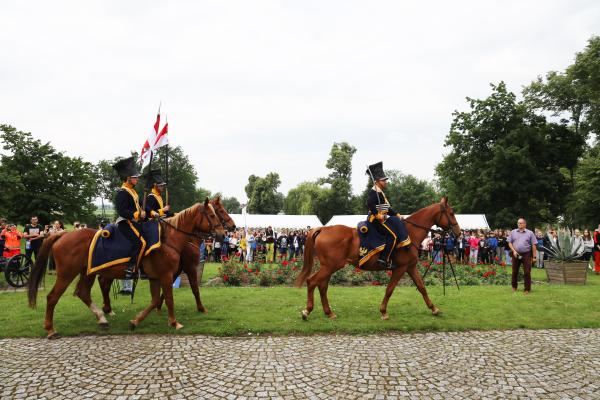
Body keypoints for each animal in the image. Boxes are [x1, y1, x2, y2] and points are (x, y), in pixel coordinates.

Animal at [28, 200, 225, 338]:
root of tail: (62, 234)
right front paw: (175, 322)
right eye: (213, 214)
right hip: (67, 273)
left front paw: (135, 321)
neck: (169, 239)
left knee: (83, 292)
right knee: (53, 297)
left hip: (88, 272)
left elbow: (155, 300)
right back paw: (51, 329)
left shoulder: (156, 277)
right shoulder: (167, 275)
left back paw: (102, 318)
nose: (223, 234)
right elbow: (170, 298)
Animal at [96, 197, 237, 316]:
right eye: (219, 211)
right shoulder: (188, 267)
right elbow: (194, 288)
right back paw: (107, 308)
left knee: (103, 282)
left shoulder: (174, 270)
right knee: (103, 282)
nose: (232, 228)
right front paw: (201, 308)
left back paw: (107, 308)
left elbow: (166, 290)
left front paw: (158, 306)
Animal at [294, 198, 460, 322]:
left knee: (322, 286)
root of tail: (322, 229)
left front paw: (434, 309)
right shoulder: (400, 268)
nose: (458, 233)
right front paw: (383, 312)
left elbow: (421, 287)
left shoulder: (411, 267)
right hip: (330, 266)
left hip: (330, 267)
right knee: (312, 282)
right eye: (451, 213)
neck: (410, 233)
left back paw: (329, 313)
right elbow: (390, 289)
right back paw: (307, 311)